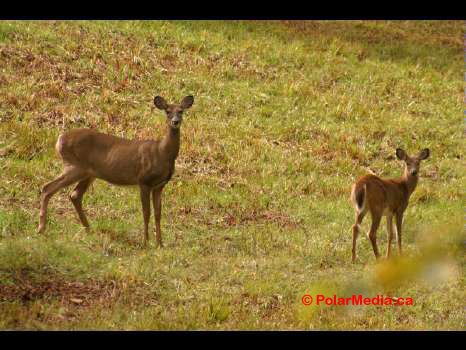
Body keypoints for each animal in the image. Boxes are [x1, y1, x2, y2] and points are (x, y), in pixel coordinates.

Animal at [37, 93, 194, 246]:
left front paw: (160, 244)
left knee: (74, 195)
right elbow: (146, 212)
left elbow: (158, 214)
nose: (175, 121)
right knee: (47, 187)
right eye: (167, 111)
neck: (162, 153)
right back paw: (41, 229)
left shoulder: (159, 185)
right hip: (75, 166)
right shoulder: (143, 181)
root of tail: (59, 139)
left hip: (88, 173)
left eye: (181, 111)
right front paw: (145, 242)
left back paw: (88, 230)